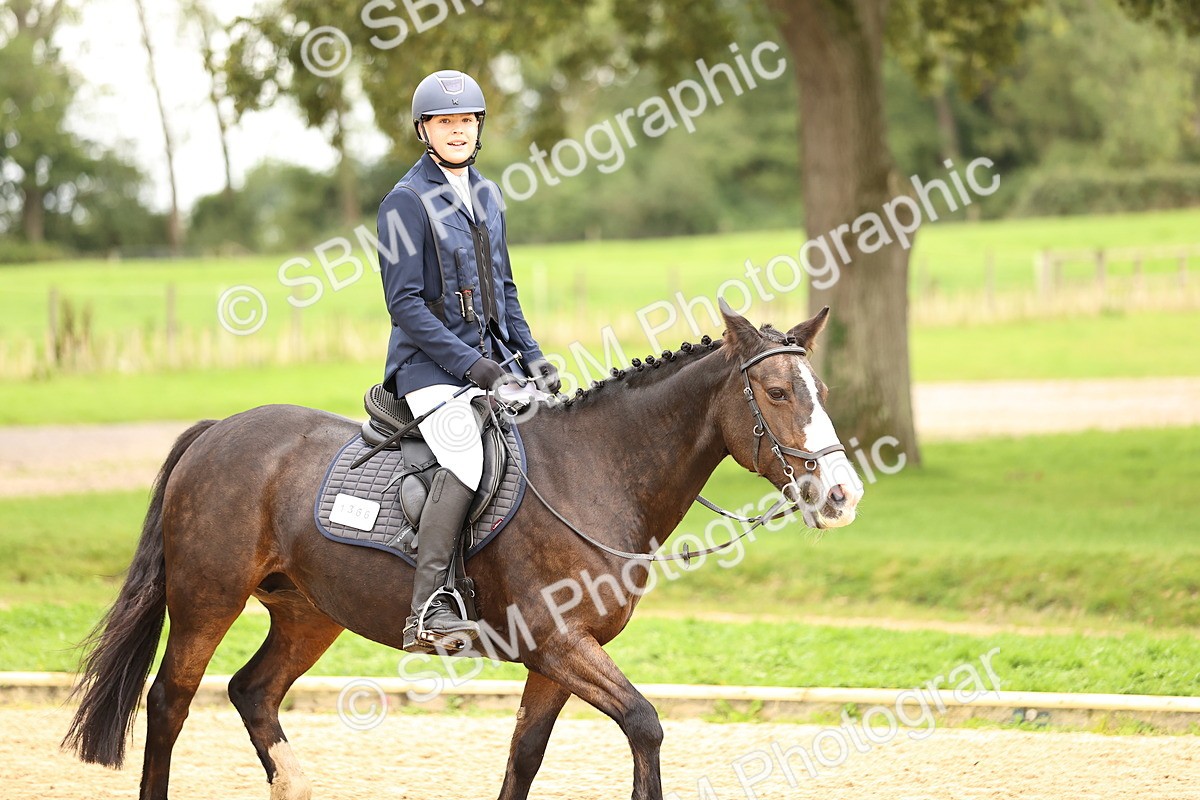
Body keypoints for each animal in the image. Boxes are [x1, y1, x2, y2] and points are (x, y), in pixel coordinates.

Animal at [62, 300, 863, 800]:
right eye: (778, 393)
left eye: (821, 388)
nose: (842, 495)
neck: (596, 469)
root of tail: (219, 430)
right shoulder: (559, 643)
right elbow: (645, 724)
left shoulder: (557, 657)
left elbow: (524, 758)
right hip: (207, 599)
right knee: (171, 701)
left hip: (309, 614)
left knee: (252, 692)